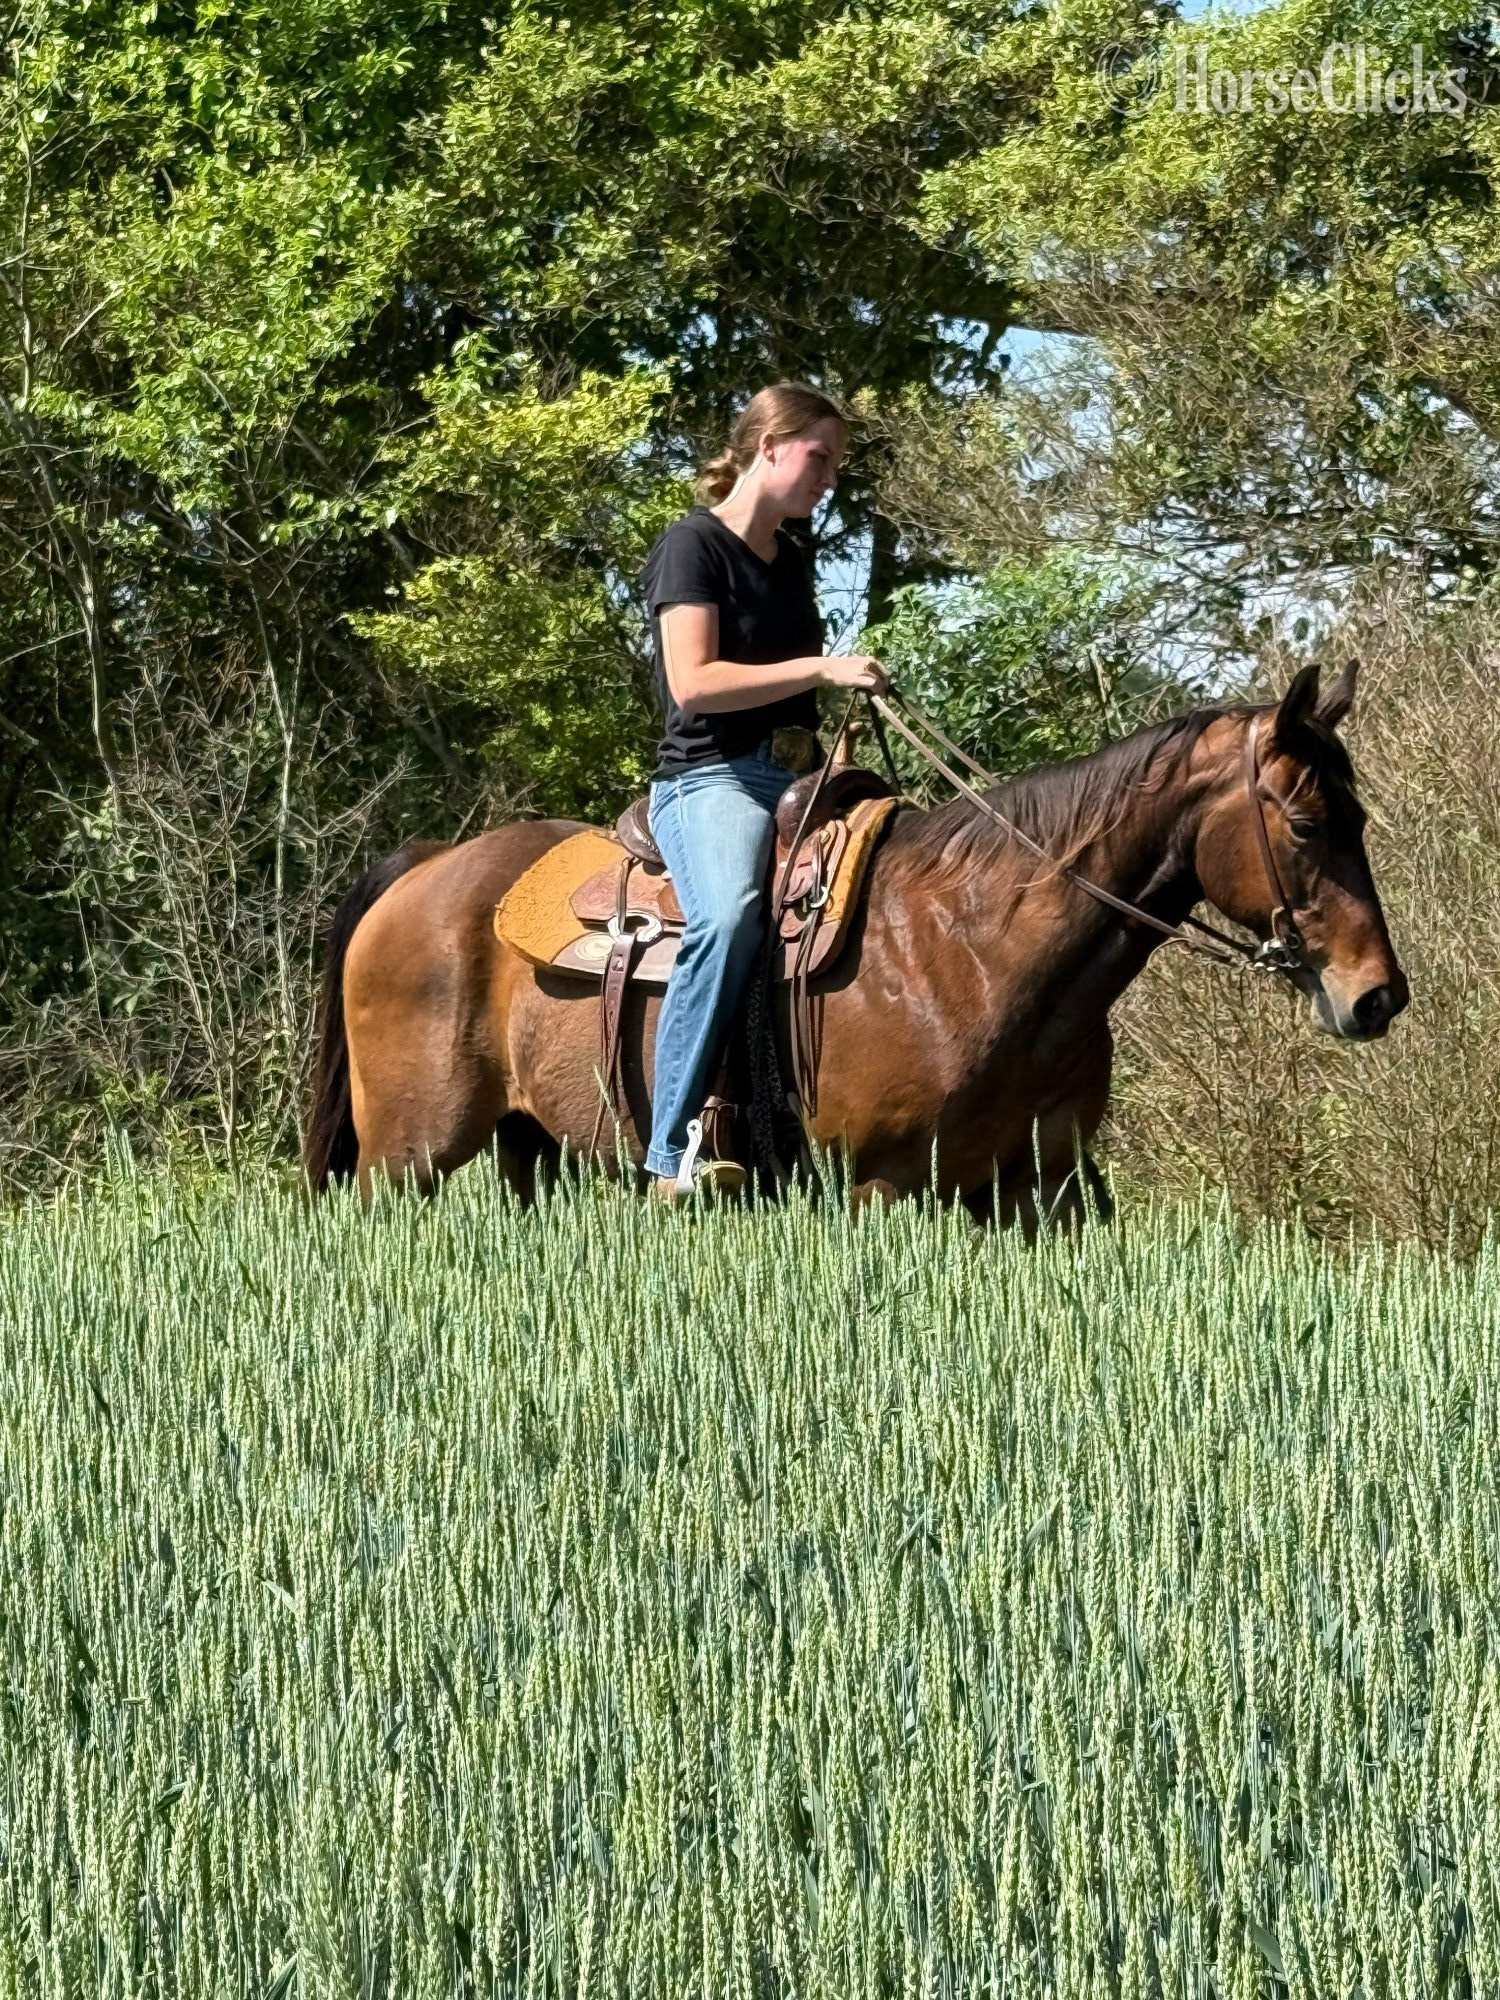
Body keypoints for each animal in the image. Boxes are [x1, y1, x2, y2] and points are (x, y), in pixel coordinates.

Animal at [303, 662, 1408, 1223]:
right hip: (402, 1161)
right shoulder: (881, 1190)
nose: (1377, 995)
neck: (978, 949)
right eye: (1306, 822)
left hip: (525, 1145)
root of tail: (428, 866)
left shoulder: (1033, 1194)